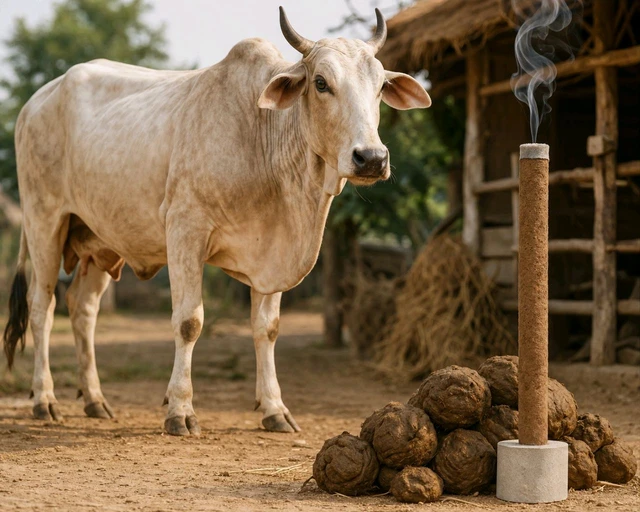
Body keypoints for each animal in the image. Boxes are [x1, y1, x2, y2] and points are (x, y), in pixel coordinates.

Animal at [3, 8, 430, 435]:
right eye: (322, 83)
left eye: (380, 86)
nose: (371, 158)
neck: (263, 139)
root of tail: (35, 102)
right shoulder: (185, 231)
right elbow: (189, 322)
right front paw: (180, 410)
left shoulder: (271, 255)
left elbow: (267, 327)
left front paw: (274, 409)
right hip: (44, 222)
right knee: (42, 305)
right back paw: (44, 399)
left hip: (98, 238)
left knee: (82, 309)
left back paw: (95, 399)